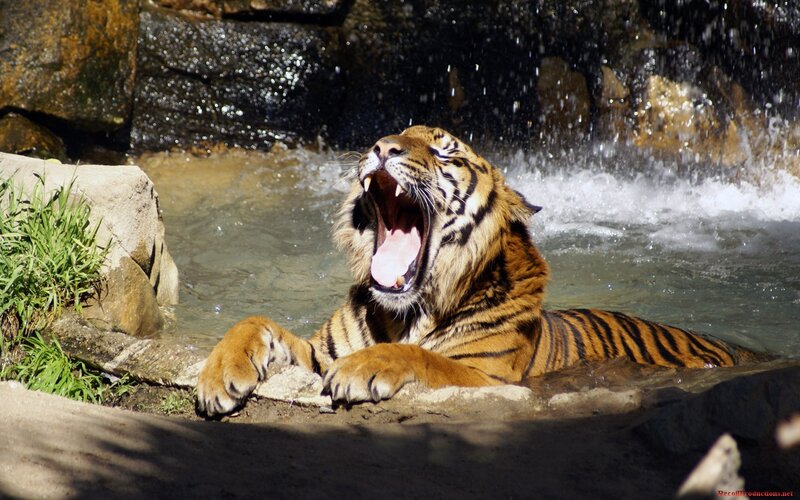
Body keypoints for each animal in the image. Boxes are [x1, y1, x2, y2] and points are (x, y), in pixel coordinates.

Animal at [195, 125, 763, 417]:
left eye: (443, 149)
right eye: (394, 133)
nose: (381, 147)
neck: (406, 312)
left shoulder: (487, 376)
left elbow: (422, 357)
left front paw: (363, 370)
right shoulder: (319, 352)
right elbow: (253, 321)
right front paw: (218, 377)